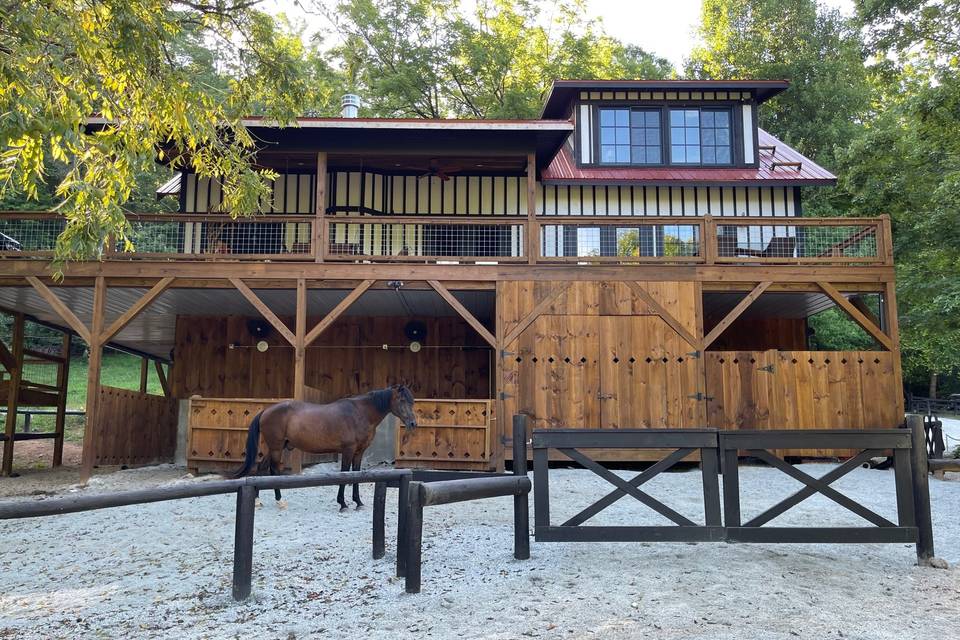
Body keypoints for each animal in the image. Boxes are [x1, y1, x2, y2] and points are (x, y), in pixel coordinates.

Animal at [231, 384, 418, 510]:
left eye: (412, 402)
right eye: (402, 400)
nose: (413, 424)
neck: (360, 413)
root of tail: (266, 411)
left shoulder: (359, 452)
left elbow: (356, 474)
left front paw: (358, 502)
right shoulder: (348, 450)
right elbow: (344, 474)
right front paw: (343, 503)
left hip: (276, 447)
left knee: (262, 468)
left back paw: (257, 500)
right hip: (276, 448)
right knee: (274, 470)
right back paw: (279, 501)